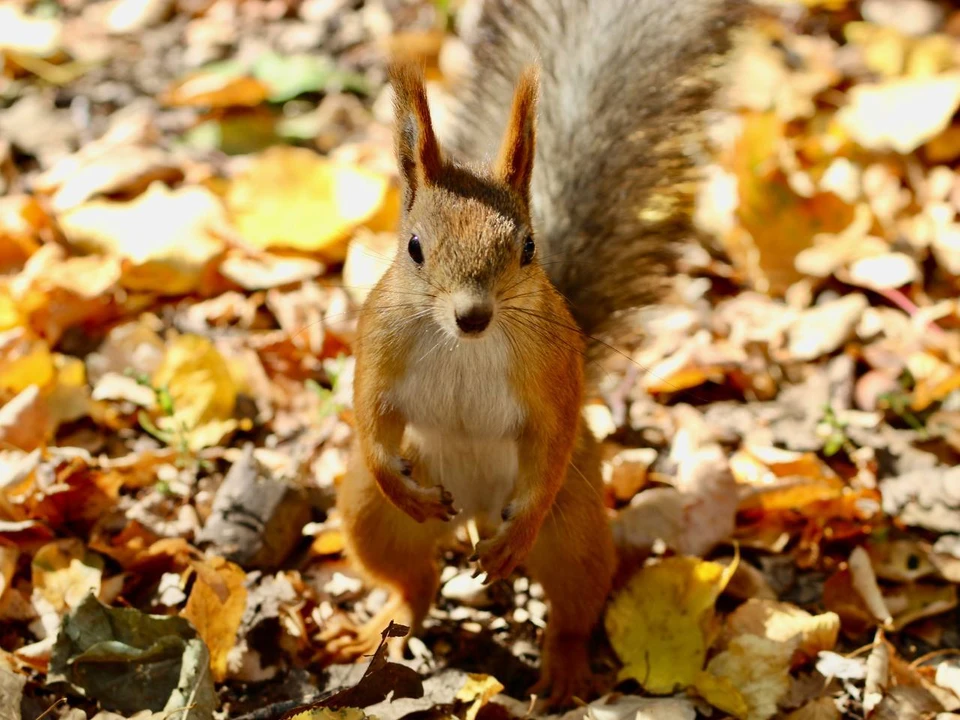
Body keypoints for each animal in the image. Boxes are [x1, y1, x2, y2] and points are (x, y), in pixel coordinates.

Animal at [322, 0, 744, 708]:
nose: (473, 316)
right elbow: (369, 413)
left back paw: (563, 665)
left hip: (573, 527)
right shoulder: (378, 341)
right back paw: (392, 619)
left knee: (572, 601)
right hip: (371, 517)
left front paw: (519, 539)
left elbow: (552, 432)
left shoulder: (553, 371)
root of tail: (471, 514)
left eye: (527, 247)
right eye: (413, 247)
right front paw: (389, 471)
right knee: (414, 578)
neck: (464, 345)